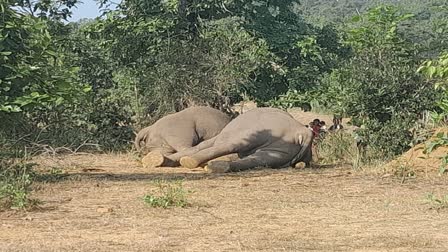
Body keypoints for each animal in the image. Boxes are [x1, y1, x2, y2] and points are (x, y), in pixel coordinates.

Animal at [145, 107, 314, 172]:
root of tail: (304, 132)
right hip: (282, 148)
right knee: (260, 159)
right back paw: (216, 166)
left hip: (264, 131)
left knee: (232, 145)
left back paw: (197, 163)